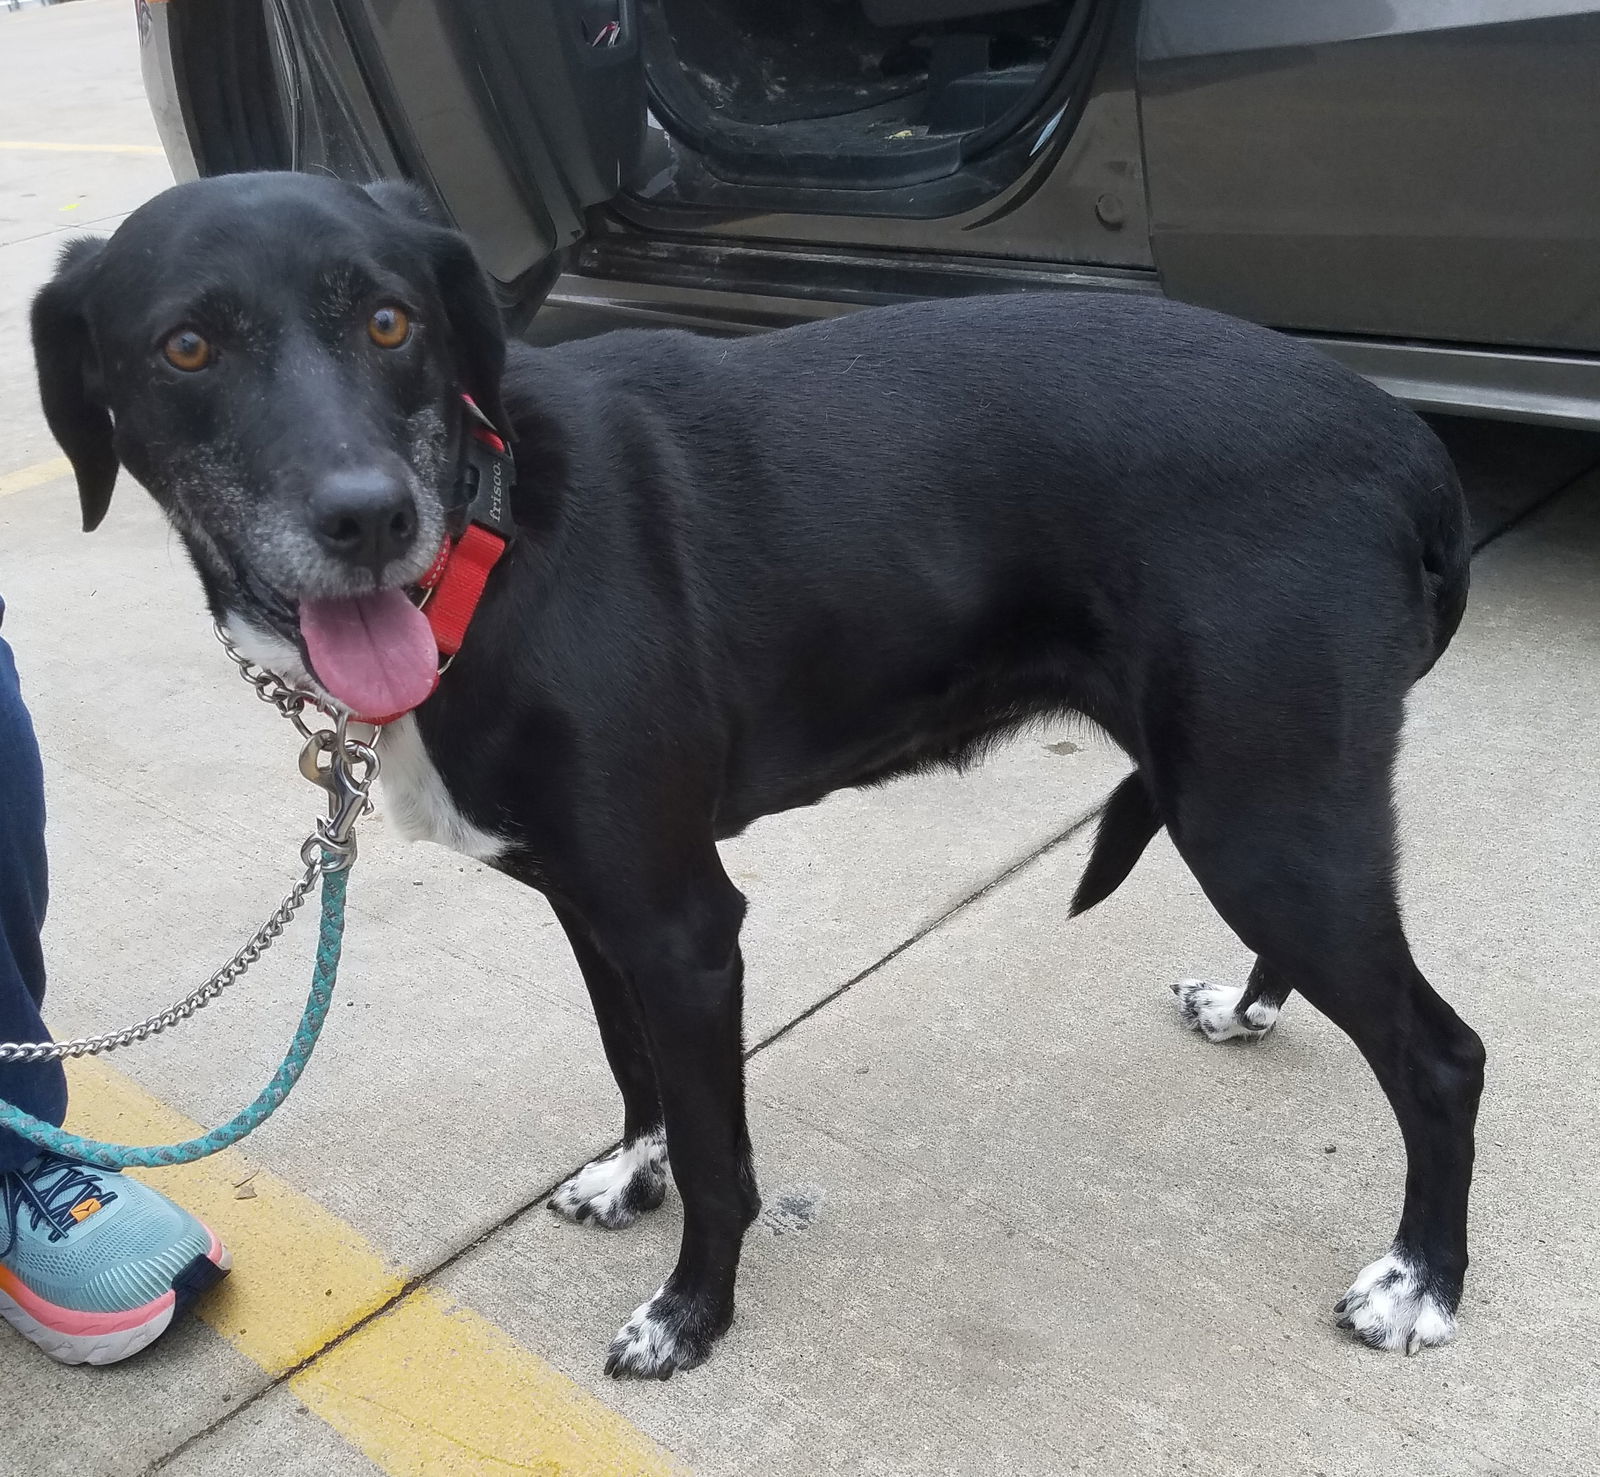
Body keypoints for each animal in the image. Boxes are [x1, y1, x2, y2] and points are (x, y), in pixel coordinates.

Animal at [28, 176, 1484, 1388]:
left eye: (390, 322)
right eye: (187, 349)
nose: (368, 516)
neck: (491, 538)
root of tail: (1404, 443)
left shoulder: (684, 927)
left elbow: (722, 1157)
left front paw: (690, 1314)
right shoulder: (591, 903)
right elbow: (636, 1072)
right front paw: (633, 1175)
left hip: (1254, 806)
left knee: (1442, 1056)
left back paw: (1421, 1284)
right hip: (1262, 799)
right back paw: (1249, 1007)